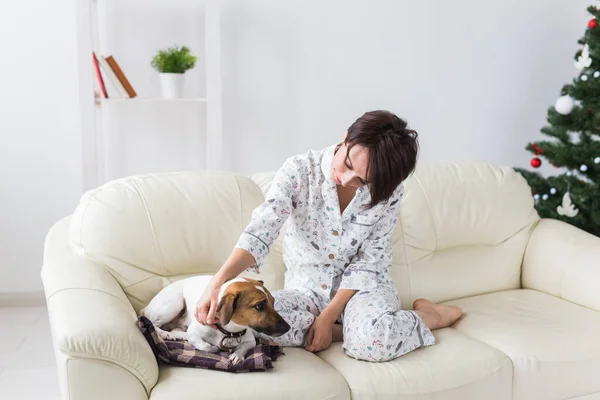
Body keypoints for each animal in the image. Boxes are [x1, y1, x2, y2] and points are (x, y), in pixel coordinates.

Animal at [143, 276, 288, 364]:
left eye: (273, 302)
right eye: (259, 306)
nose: (288, 327)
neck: (229, 331)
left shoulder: (250, 340)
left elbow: (243, 346)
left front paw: (237, 355)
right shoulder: (194, 334)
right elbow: (205, 346)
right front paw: (213, 348)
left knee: (175, 329)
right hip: (175, 302)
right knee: (153, 322)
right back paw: (165, 334)